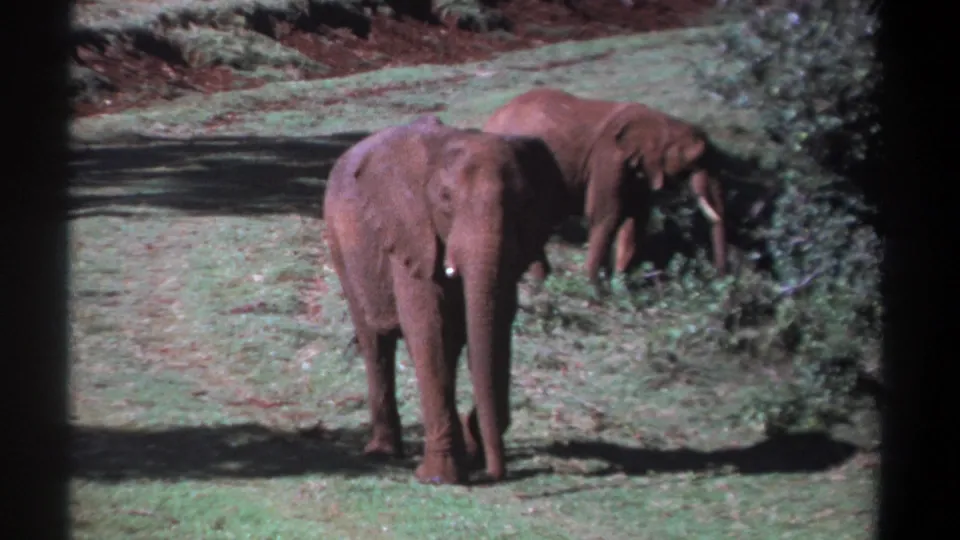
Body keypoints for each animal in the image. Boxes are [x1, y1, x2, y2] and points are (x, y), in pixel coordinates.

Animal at [323, 116, 566, 485]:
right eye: (445, 198)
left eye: (525, 201)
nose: (494, 473)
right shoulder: (411, 231)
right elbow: (428, 327)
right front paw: (440, 478)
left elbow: (497, 324)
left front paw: (470, 446)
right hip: (340, 243)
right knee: (374, 340)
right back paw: (382, 452)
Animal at [483, 87, 727, 294]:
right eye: (696, 158)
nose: (719, 278)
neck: (661, 121)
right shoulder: (608, 158)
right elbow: (606, 214)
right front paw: (595, 289)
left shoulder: (637, 169)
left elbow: (636, 220)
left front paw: (622, 285)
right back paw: (542, 282)